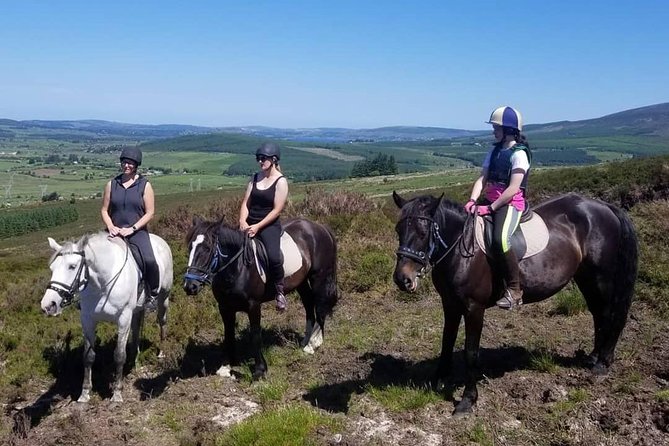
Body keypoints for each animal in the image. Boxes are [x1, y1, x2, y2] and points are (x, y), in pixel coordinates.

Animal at [40, 233, 174, 404]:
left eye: (72, 266)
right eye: (52, 268)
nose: (48, 305)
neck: (102, 284)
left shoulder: (123, 319)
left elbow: (119, 355)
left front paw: (117, 394)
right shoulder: (88, 320)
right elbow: (88, 356)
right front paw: (84, 394)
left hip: (164, 297)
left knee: (162, 321)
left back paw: (161, 352)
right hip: (137, 309)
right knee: (137, 328)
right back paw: (134, 360)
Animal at [183, 218, 336, 378]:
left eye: (207, 248)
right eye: (190, 247)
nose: (190, 286)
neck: (238, 269)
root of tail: (320, 227)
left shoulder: (253, 305)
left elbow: (255, 335)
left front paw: (259, 370)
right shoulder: (224, 307)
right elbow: (228, 334)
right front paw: (225, 366)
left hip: (319, 276)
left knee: (320, 305)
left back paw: (313, 343)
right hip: (301, 281)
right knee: (308, 304)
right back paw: (305, 341)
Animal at [392, 191, 636, 414]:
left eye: (423, 233)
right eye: (398, 230)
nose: (402, 279)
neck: (461, 249)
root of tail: (604, 207)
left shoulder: (474, 308)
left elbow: (471, 352)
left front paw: (467, 400)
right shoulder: (450, 305)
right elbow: (447, 341)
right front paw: (439, 381)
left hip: (601, 276)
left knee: (609, 314)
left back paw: (602, 363)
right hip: (585, 276)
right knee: (598, 313)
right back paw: (593, 357)